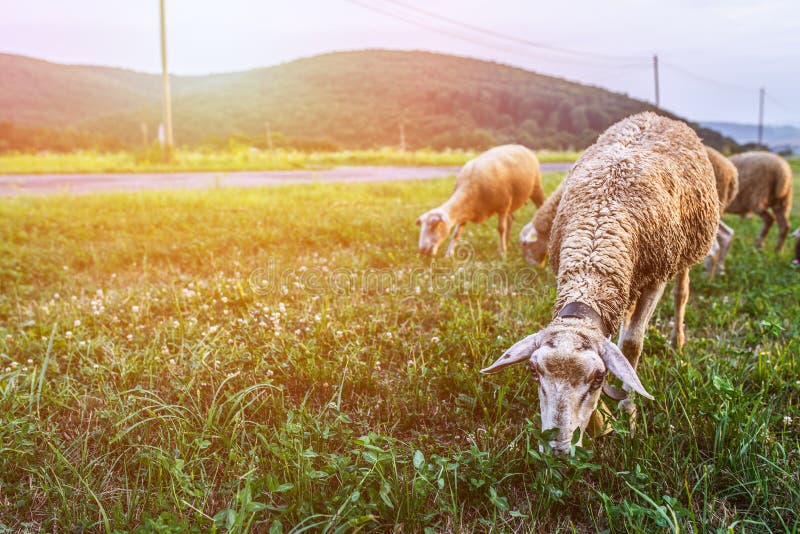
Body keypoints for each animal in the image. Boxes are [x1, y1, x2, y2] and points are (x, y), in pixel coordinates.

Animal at [482, 113, 720, 456]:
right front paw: (599, 421)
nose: (557, 450)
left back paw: (678, 342)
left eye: (598, 378)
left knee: (681, 294)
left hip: (683, 252)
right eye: (533, 371)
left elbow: (632, 345)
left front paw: (627, 414)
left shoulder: (655, 278)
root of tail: (654, 115)